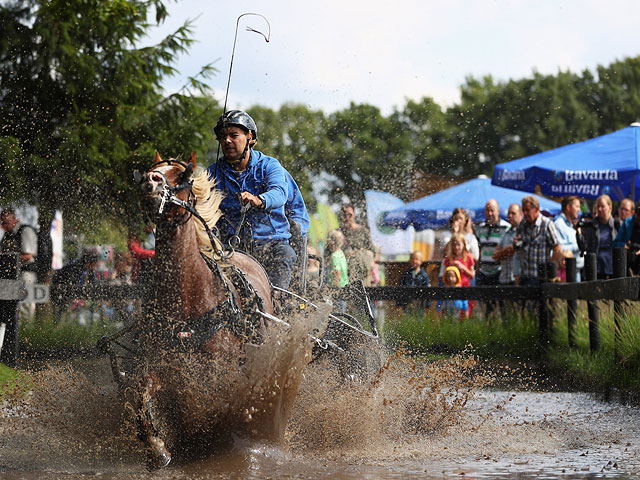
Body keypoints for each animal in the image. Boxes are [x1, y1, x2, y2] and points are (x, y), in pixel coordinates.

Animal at [128, 153, 320, 468]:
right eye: (150, 170)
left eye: (183, 176)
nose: (149, 182)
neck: (187, 297)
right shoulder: (163, 365)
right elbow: (141, 393)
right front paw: (158, 449)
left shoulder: (222, 374)